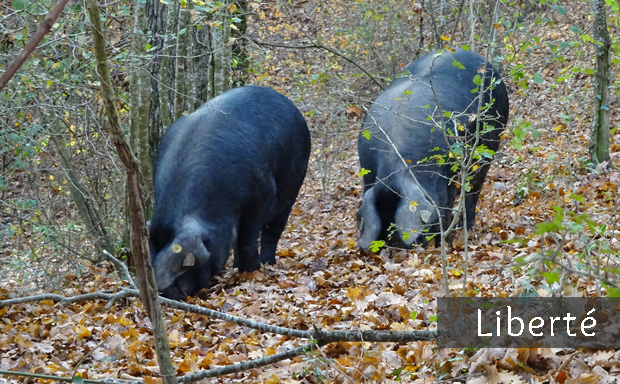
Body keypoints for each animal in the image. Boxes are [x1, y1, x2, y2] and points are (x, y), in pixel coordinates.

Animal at [148, 87, 312, 300]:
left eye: (187, 265)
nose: (165, 293)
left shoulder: (261, 195)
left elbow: (247, 241)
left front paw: (251, 273)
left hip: (292, 185)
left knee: (273, 230)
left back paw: (268, 264)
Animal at [358, 48, 508, 249]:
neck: (392, 161)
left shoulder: (445, 175)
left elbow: (447, 205)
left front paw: (445, 244)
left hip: (490, 139)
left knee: (474, 186)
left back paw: (465, 226)